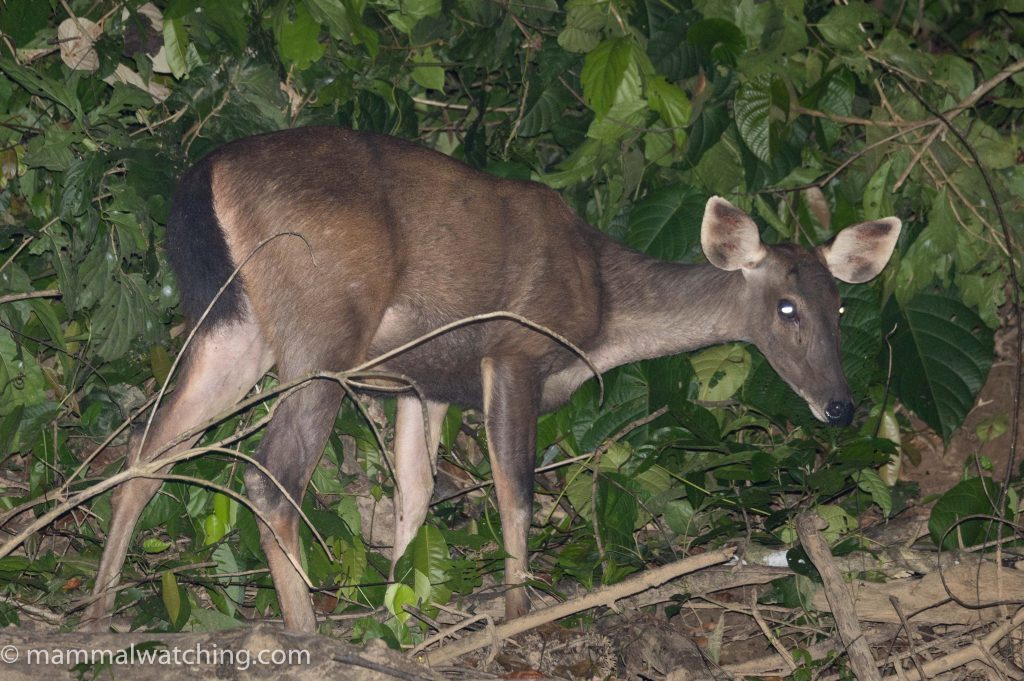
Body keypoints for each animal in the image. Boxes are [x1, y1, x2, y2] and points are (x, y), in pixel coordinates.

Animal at [81, 127, 901, 632]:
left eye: (840, 306)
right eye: (787, 307)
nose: (841, 405)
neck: (602, 310)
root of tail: (205, 174)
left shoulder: (423, 383)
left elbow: (415, 495)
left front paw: (402, 611)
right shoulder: (514, 350)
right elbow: (517, 490)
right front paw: (515, 612)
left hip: (236, 325)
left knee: (147, 454)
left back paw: (95, 612)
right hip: (321, 325)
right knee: (268, 475)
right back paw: (305, 633)